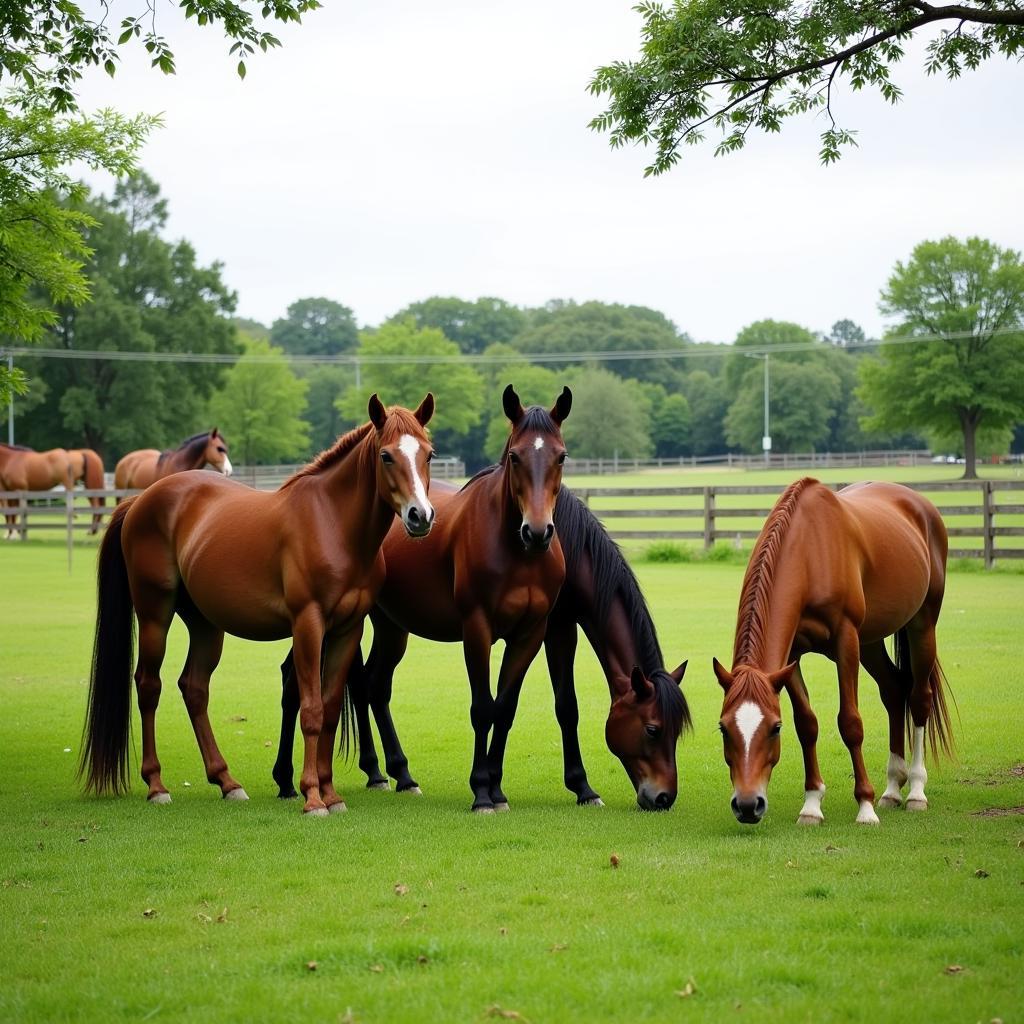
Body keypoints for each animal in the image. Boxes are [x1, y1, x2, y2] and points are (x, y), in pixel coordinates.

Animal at [78, 397, 432, 815]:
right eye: (386, 455)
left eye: (428, 454)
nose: (421, 516)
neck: (333, 523)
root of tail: (141, 500)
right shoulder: (308, 624)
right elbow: (311, 710)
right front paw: (312, 797)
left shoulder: (348, 629)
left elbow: (329, 709)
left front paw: (331, 794)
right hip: (154, 615)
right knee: (149, 686)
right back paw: (157, 785)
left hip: (205, 624)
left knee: (194, 688)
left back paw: (227, 781)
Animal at [276, 385, 573, 815]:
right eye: (515, 456)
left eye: (561, 456)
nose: (536, 532)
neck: (520, 556)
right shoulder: (477, 629)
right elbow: (482, 708)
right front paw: (482, 792)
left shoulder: (529, 635)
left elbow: (504, 709)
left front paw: (498, 790)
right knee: (298, 681)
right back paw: (287, 779)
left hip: (387, 626)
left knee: (372, 685)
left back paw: (395, 774)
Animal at [712, 477, 950, 823]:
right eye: (723, 728)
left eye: (774, 728)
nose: (746, 804)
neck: (809, 552)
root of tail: (920, 503)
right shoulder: (791, 656)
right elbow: (807, 724)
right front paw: (812, 804)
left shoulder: (846, 641)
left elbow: (850, 722)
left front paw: (865, 806)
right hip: (870, 642)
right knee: (894, 690)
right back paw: (893, 788)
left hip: (922, 625)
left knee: (920, 699)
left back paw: (916, 790)